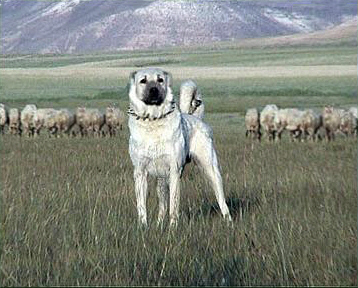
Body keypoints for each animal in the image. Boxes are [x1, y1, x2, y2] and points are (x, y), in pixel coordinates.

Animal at [127, 67, 231, 227]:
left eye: (160, 80)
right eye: (143, 80)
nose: (153, 90)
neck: (153, 121)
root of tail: (196, 118)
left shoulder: (174, 171)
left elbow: (173, 206)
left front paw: (173, 228)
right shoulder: (140, 172)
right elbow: (142, 206)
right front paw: (143, 227)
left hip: (210, 169)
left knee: (221, 199)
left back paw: (228, 221)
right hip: (161, 181)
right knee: (162, 206)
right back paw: (159, 225)